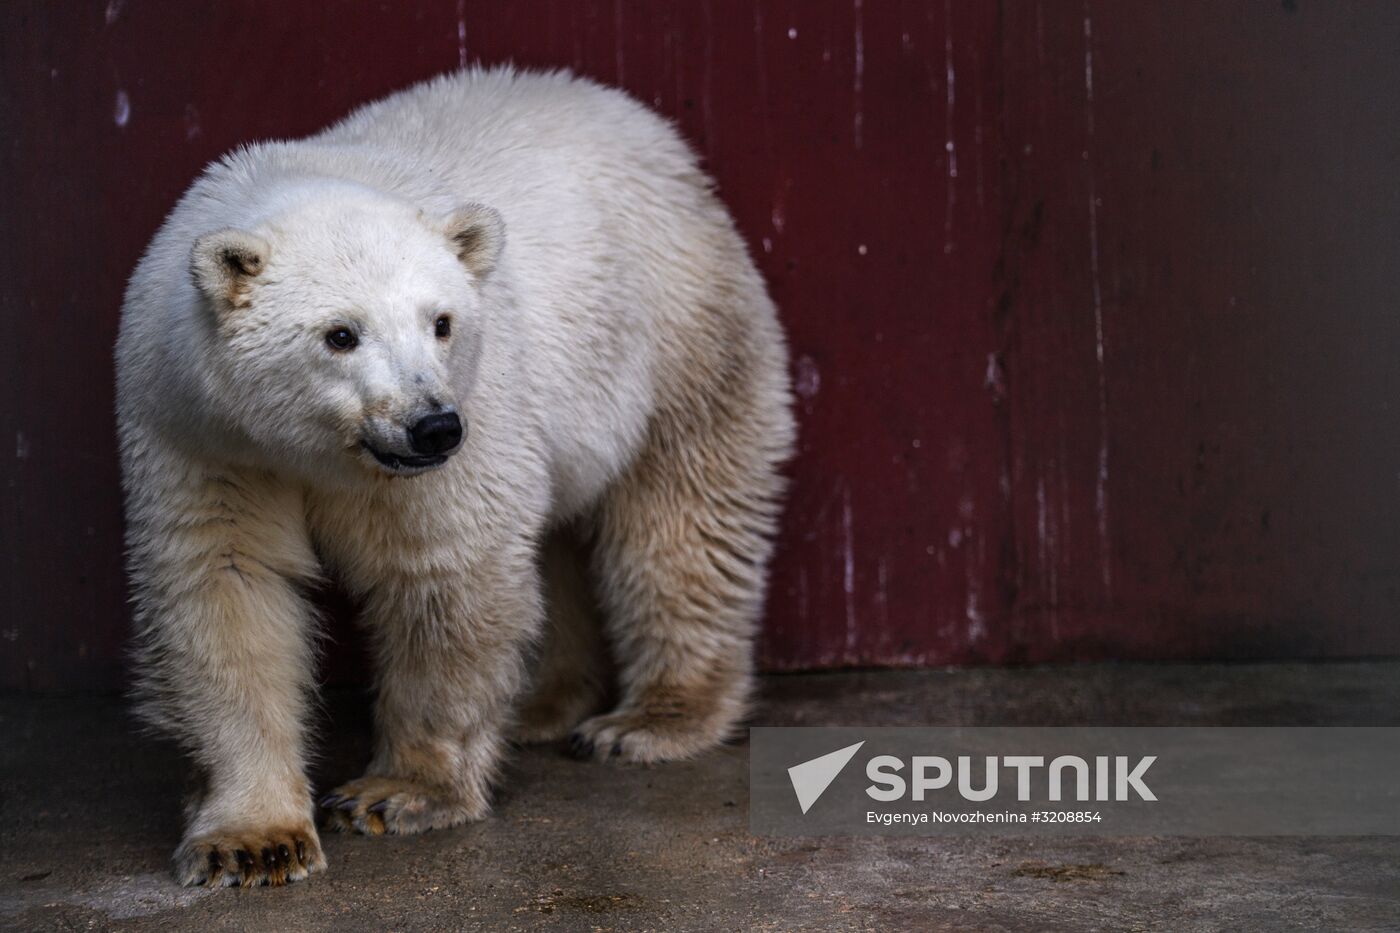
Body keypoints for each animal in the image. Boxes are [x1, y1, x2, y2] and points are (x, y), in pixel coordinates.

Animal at [114, 68, 795, 885]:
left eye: (441, 321)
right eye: (340, 334)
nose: (432, 424)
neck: (315, 449)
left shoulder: (471, 413)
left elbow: (445, 574)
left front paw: (397, 793)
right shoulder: (201, 432)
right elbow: (225, 585)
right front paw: (252, 841)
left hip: (677, 325)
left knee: (682, 511)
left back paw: (649, 718)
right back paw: (543, 704)